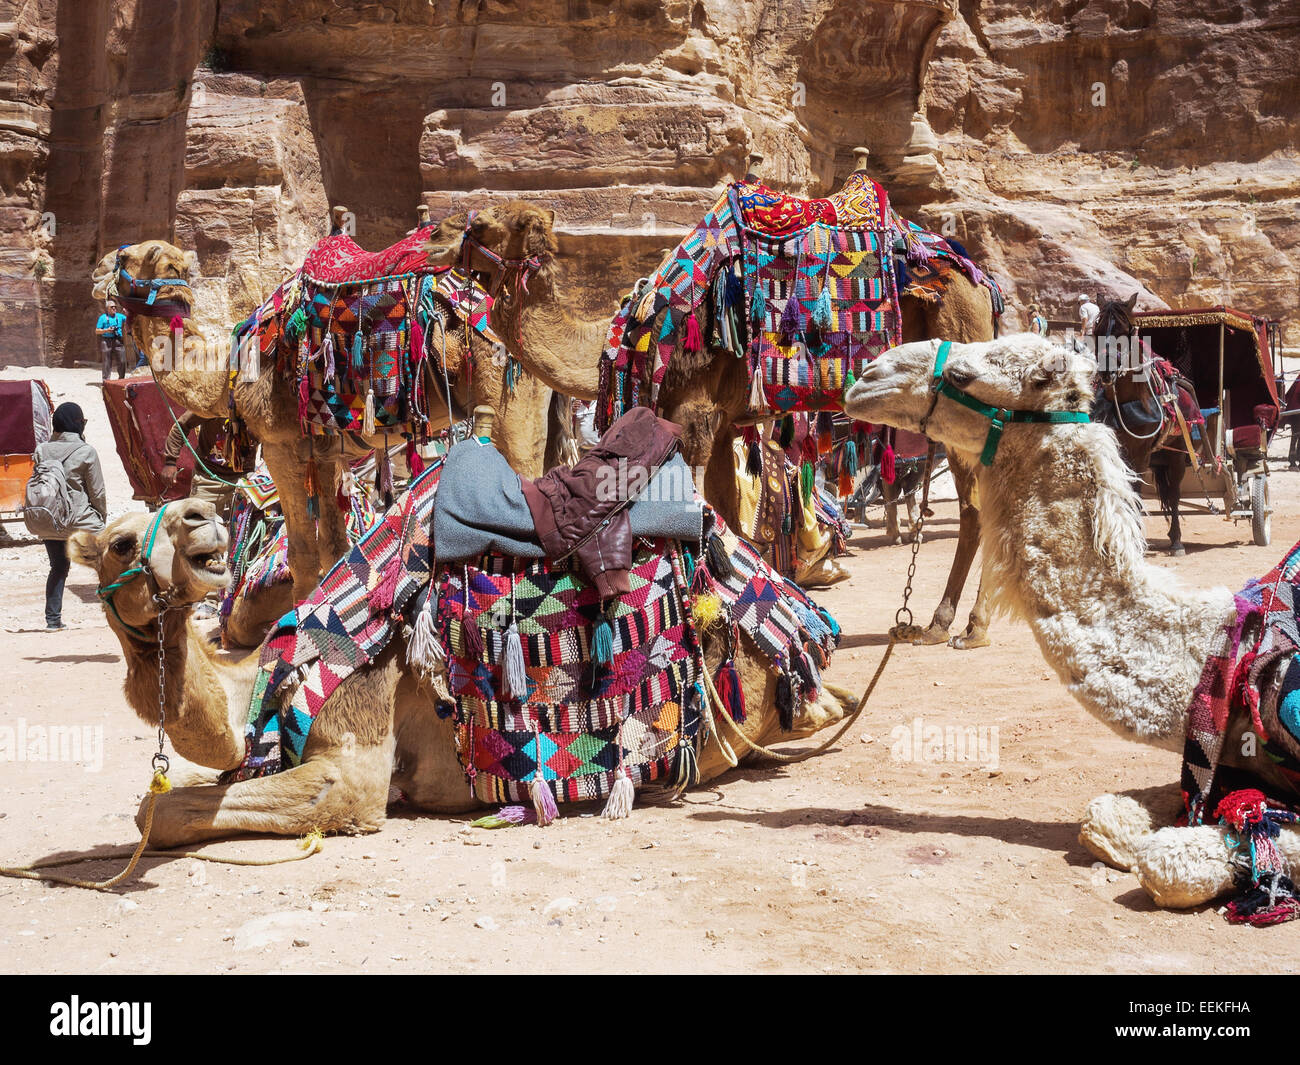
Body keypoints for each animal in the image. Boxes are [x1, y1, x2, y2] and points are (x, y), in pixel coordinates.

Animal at [94, 204, 605, 611]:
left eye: (126, 256)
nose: (97, 269)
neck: (231, 368)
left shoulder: (280, 445)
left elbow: (302, 552)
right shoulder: (323, 453)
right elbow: (334, 544)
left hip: (507, 399)